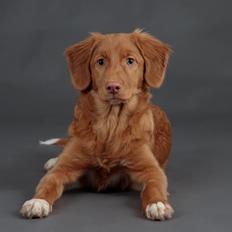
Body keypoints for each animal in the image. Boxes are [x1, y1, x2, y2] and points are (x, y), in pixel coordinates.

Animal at [20, 29, 174, 221]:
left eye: (130, 61)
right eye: (100, 61)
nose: (113, 87)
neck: (110, 125)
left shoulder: (150, 168)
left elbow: (154, 186)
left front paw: (157, 203)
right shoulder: (66, 166)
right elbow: (49, 181)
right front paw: (38, 201)